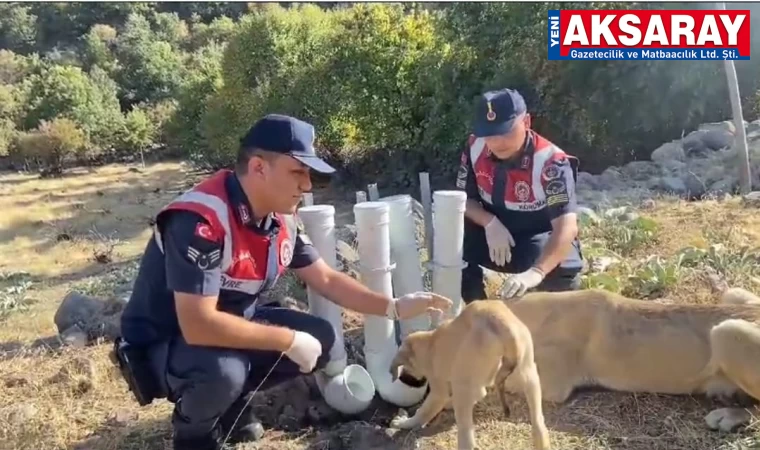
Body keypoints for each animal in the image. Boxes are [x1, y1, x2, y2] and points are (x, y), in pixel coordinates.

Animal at [388, 298, 548, 450]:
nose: (405, 378)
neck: (429, 342)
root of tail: (498, 320)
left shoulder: (439, 389)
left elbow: (423, 411)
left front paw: (405, 423)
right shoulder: (475, 387)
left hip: (463, 388)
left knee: (467, 437)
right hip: (530, 375)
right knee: (539, 424)